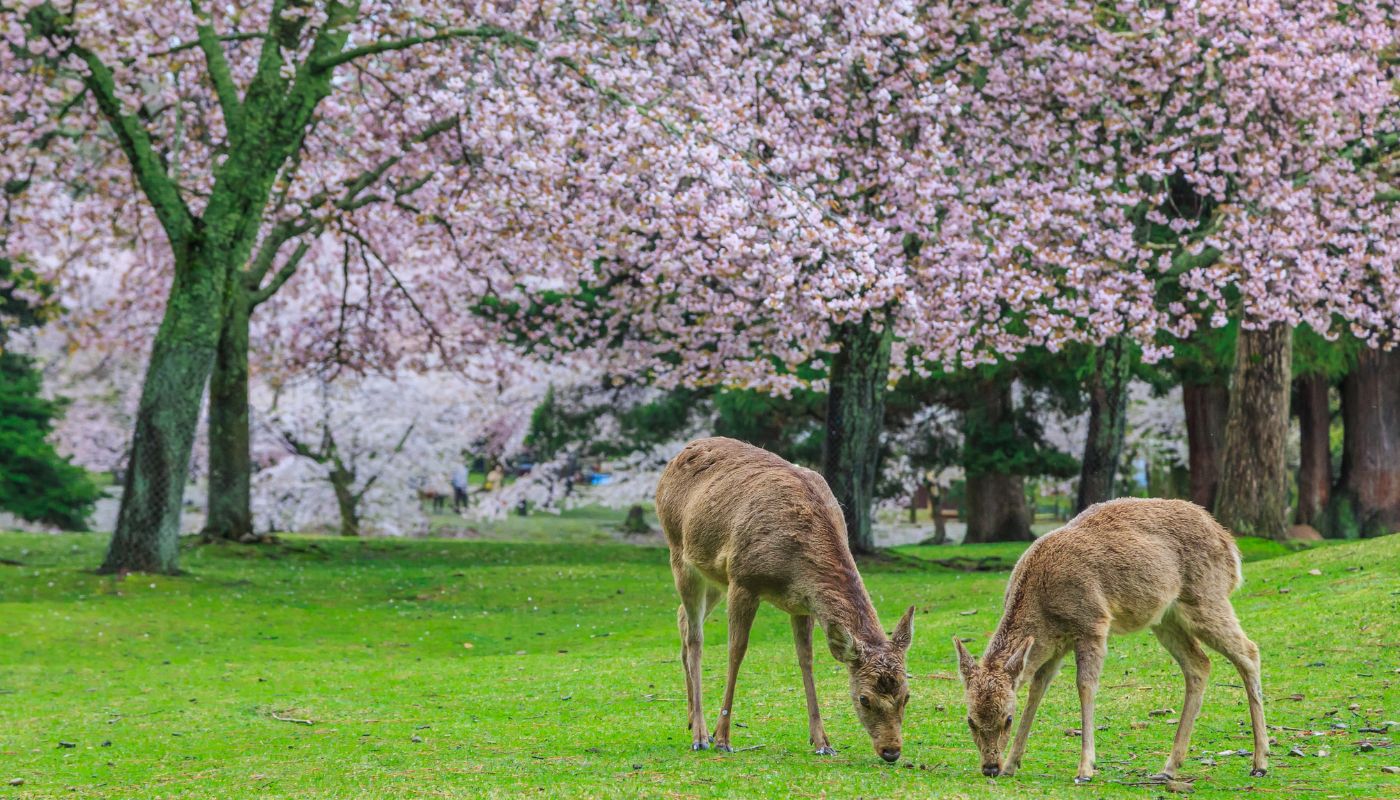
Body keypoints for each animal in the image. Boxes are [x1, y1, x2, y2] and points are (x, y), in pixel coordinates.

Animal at [658, 437, 918, 762]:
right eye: (864, 698)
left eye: (906, 695)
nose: (891, 751)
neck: (794, 568)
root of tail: (677, 456)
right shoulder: (743, 580)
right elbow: (736, 651)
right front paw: (723, 738)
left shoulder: (802, 604)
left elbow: (806, 659)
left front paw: (822, 741)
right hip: (680, 554)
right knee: (695, 637)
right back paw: (701, 735)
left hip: (714, 575)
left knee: (681, 617)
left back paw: (691, 719)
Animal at [952, 498, 1271, 784]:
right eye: (970, 719)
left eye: (1007, 718)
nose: (990, 767)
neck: (1043, 610)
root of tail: (1230, 546)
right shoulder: (1053, 645)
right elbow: (1036, 690)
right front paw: (1012, 764)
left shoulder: (1092, 623)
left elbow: (1085, 686)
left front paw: (1085, 769)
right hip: (1165, 618)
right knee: (1199, 664)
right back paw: (1168, 768)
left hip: (1206, 597)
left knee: (1249, 651)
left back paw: (1260, 763)